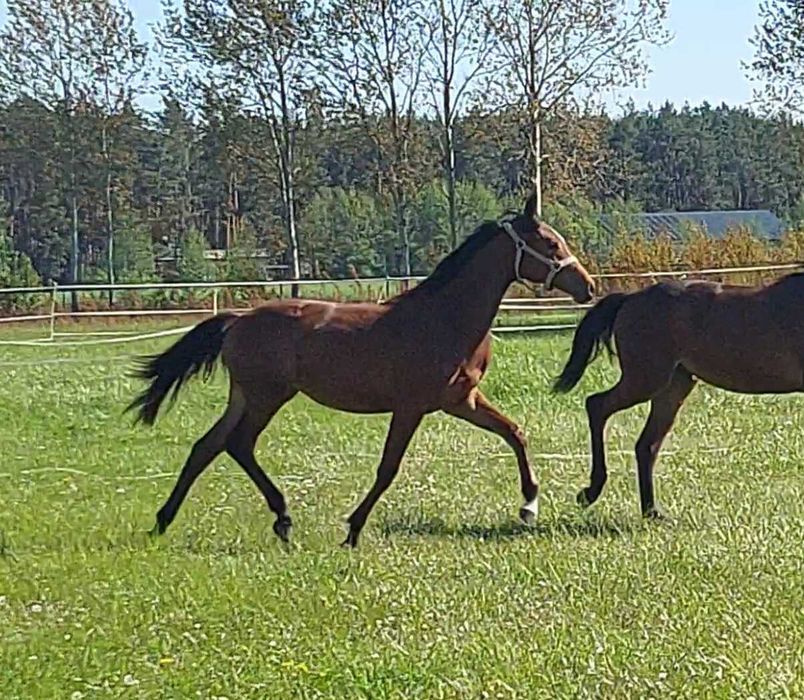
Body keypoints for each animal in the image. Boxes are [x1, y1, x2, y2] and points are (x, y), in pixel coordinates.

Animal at [129, 196, 596, 548]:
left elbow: (514, 433)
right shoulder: (410, 407)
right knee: (237, 444)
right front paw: (353, 529)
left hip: (245, 396)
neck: (446, 318)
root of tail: (237, 320)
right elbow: (388, 468)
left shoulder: (461, 400)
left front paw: (529, 505)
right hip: (266, 397)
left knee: (207, 446)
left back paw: (164, 521)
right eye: (550, 244)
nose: (588, 286)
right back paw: (281, 518)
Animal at [556, 274, 800, 520]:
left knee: (646, 445)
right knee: (597, 405)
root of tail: (630, 298)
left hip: (672, 387)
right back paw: (592, 492)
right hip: (646, 379)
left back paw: (652, 512)